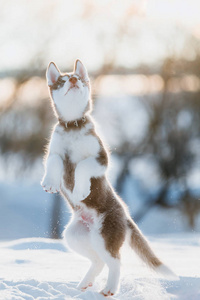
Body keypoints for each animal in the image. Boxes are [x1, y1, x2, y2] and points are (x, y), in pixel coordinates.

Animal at [40, 58, 178, 296]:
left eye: (77, 78)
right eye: (63, 81)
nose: (74, 79)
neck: (73, 126)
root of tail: (126, 216)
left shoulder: (101, 158)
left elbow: (82, 166)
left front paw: (80, 189)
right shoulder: (55, 149)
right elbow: (54, 161)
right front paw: (50, 182)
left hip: (106, 234)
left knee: (115, 262)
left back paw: (110, 288)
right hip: (76, 236)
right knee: (98, 260)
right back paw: (85, 283)